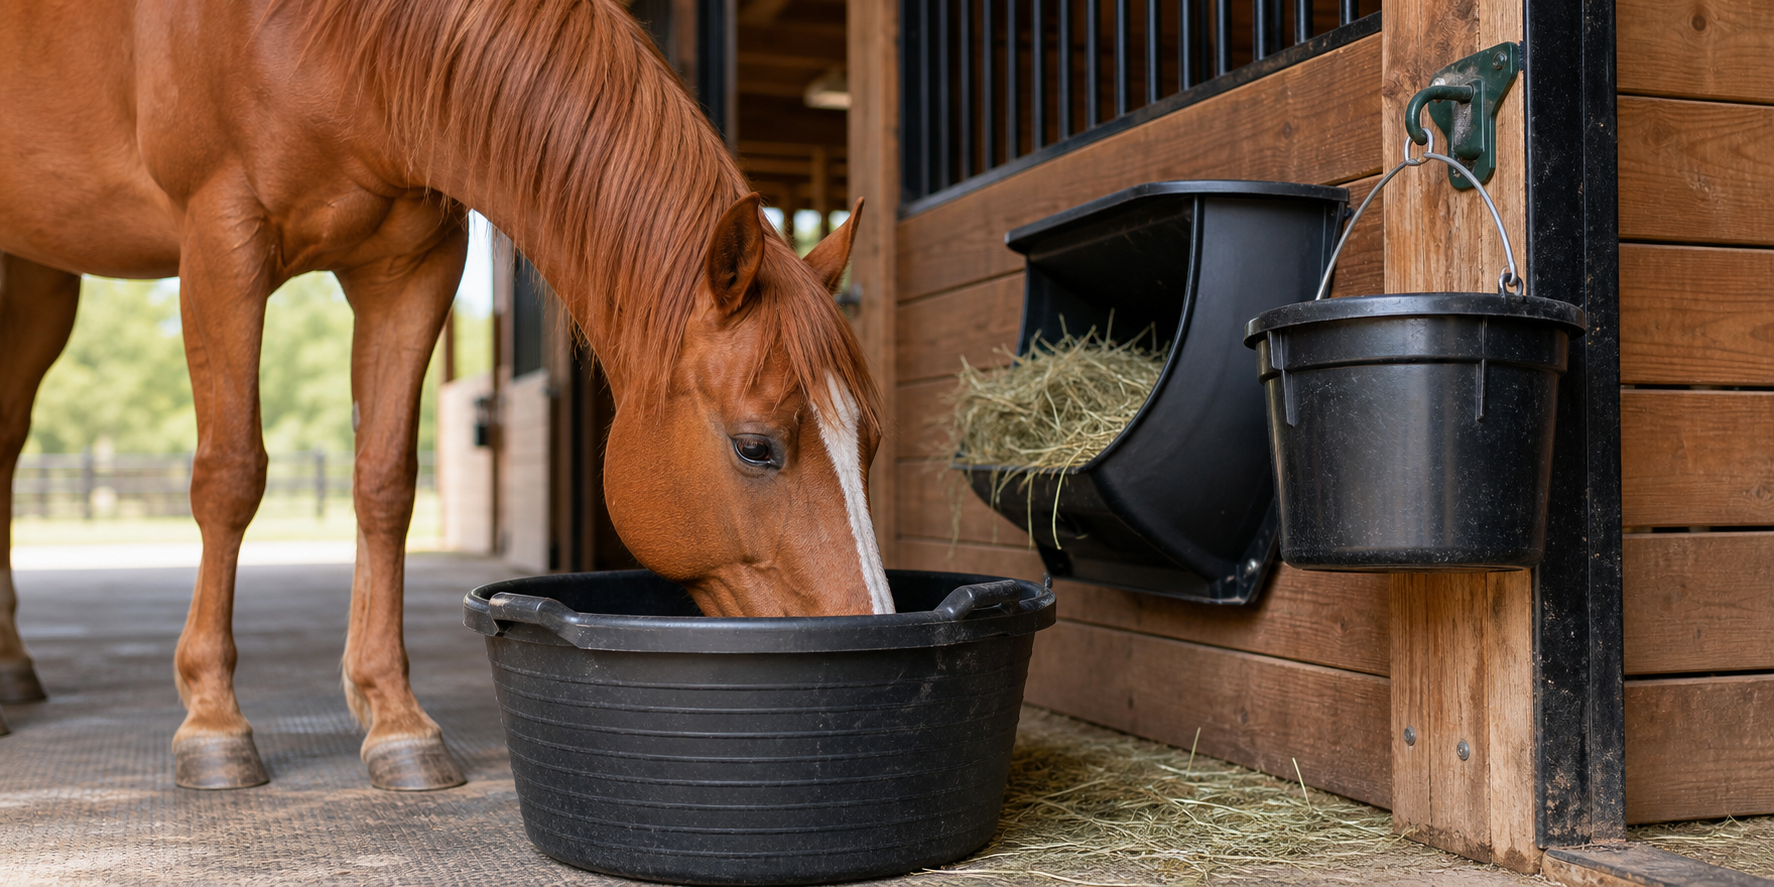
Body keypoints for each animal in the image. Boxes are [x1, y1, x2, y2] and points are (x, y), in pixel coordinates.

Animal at [0, 0, 891, 792]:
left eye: (871, 442)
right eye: (755, 446)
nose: (868, 631)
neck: (325, 34)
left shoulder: (414, 262)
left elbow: (386, 481)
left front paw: (396, 721)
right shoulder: (222, 241)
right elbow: (230, 475)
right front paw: (214, 723)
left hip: (39, 276)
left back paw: (12, 669)